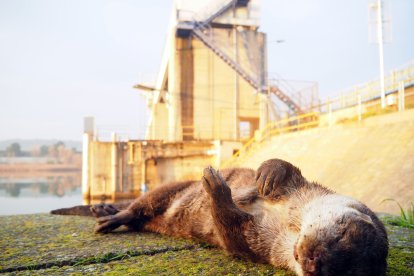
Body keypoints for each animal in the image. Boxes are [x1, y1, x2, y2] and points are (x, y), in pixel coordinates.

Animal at [51, 158, 388, 274]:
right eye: (343, 235)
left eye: (339, 272)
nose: (314, 263)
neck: (288, 221)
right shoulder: (303, 190)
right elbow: (286, 170)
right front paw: (268, 175)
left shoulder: (262, 245)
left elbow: (231, 231)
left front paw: (216, 188)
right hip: (167, 187)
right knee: (137, 205)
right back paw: (108, 216)